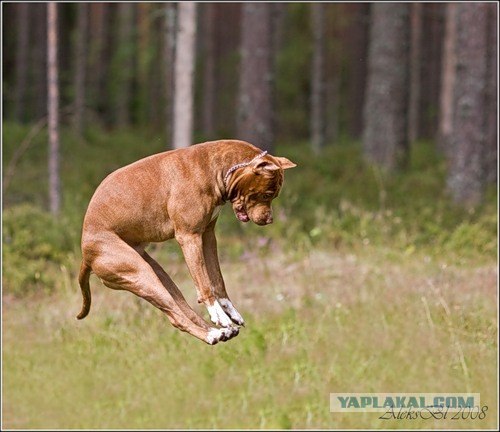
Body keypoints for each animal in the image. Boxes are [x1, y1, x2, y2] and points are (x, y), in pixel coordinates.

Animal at [77, 141, 294, 344]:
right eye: (267, 194)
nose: (269, 220)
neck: (215, 169)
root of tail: (86, 255)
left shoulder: (207, 237)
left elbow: (216, 278)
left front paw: (227, 309)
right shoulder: (189, 237)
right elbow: (204, 282)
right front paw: (218, 312)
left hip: (159, 275)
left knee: (183, 310)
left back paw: (218, 332)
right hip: (141, 273)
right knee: (176, 317)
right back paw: (211, 334)